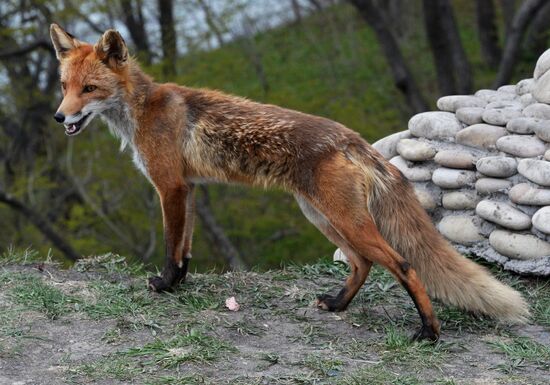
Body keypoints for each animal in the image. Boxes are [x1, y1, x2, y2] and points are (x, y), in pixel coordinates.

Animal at [50, 23, 532, 340]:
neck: (142, 109)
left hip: (344, 219)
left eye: (89, 89)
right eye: (64, 85)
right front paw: (179, 284)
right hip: (321, 215)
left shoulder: (170, 186)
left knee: (403, 265)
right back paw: (338, 305)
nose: (58, 117)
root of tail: (351, 137)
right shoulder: (190, 188)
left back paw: (429, 331)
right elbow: (185, 248)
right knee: (362, 263)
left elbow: (171, 246)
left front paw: (165, 285)